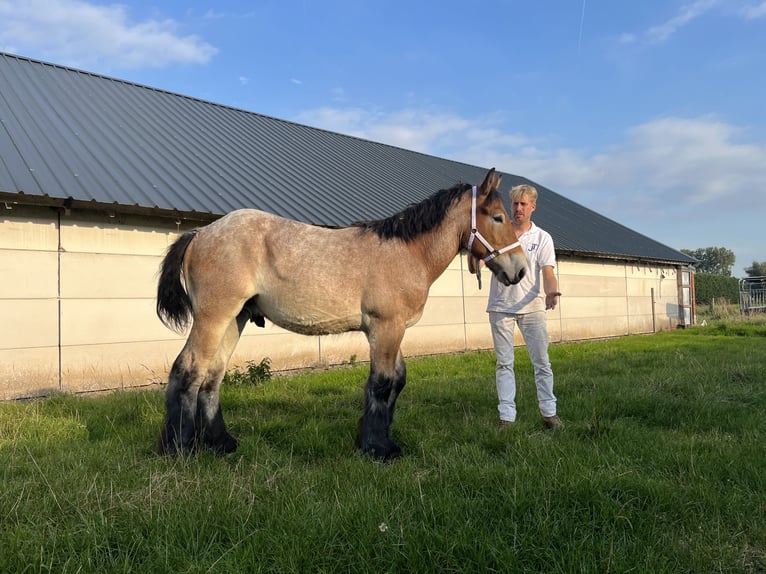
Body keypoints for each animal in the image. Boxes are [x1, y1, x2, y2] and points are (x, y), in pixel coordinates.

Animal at [156, 169, 528, 462]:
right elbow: (382, 383)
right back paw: (178, 449)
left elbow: (397, 380)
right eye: (498, 217)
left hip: (235, 320)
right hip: (214, 318)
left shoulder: (392, 330)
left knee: (212, 377)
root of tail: (199, 234)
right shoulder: (385, 327)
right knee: (187, 370)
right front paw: (380, 448)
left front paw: (370, 436)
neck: (407, 252)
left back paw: (221, 443)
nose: (521, 270)